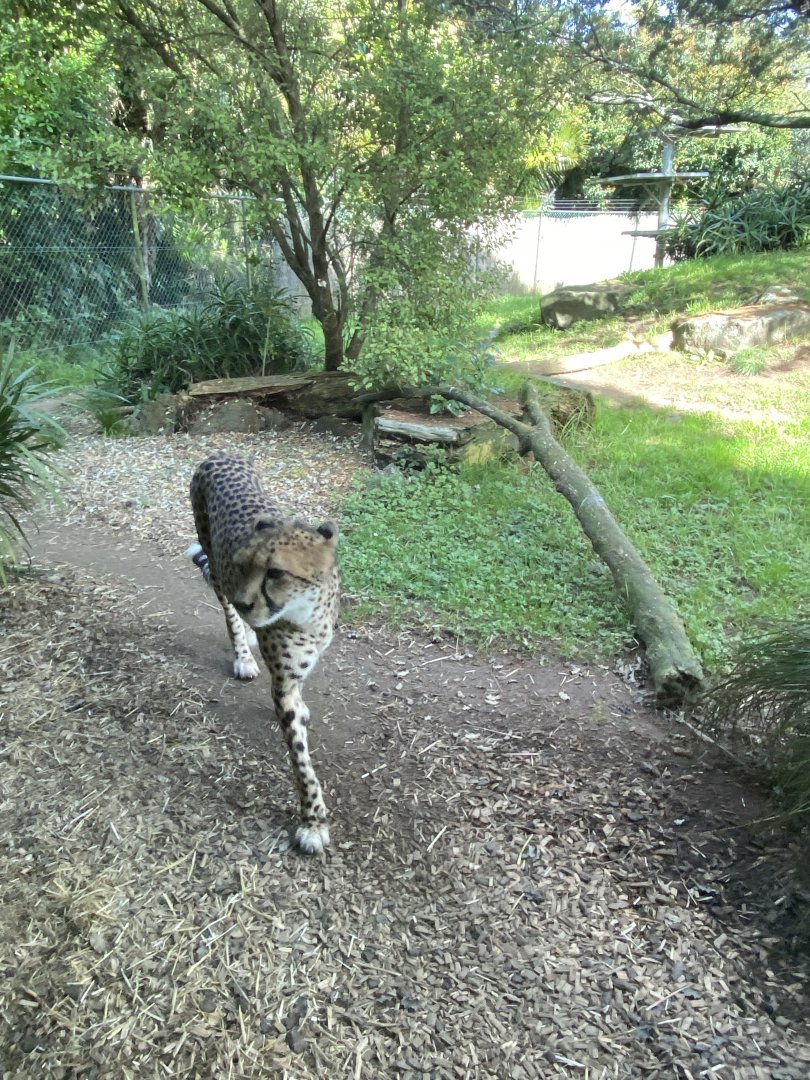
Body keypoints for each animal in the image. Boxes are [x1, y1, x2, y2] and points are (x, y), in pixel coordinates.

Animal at [187, 451, 339, 855]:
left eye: (275, 572)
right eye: (243, 565)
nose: (245, 602)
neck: (308, 614)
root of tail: (217, 454)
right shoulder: (280, 684)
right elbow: (302, 764)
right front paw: (312, 822)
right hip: (213, 562)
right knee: (226, 612)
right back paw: (243, 653)